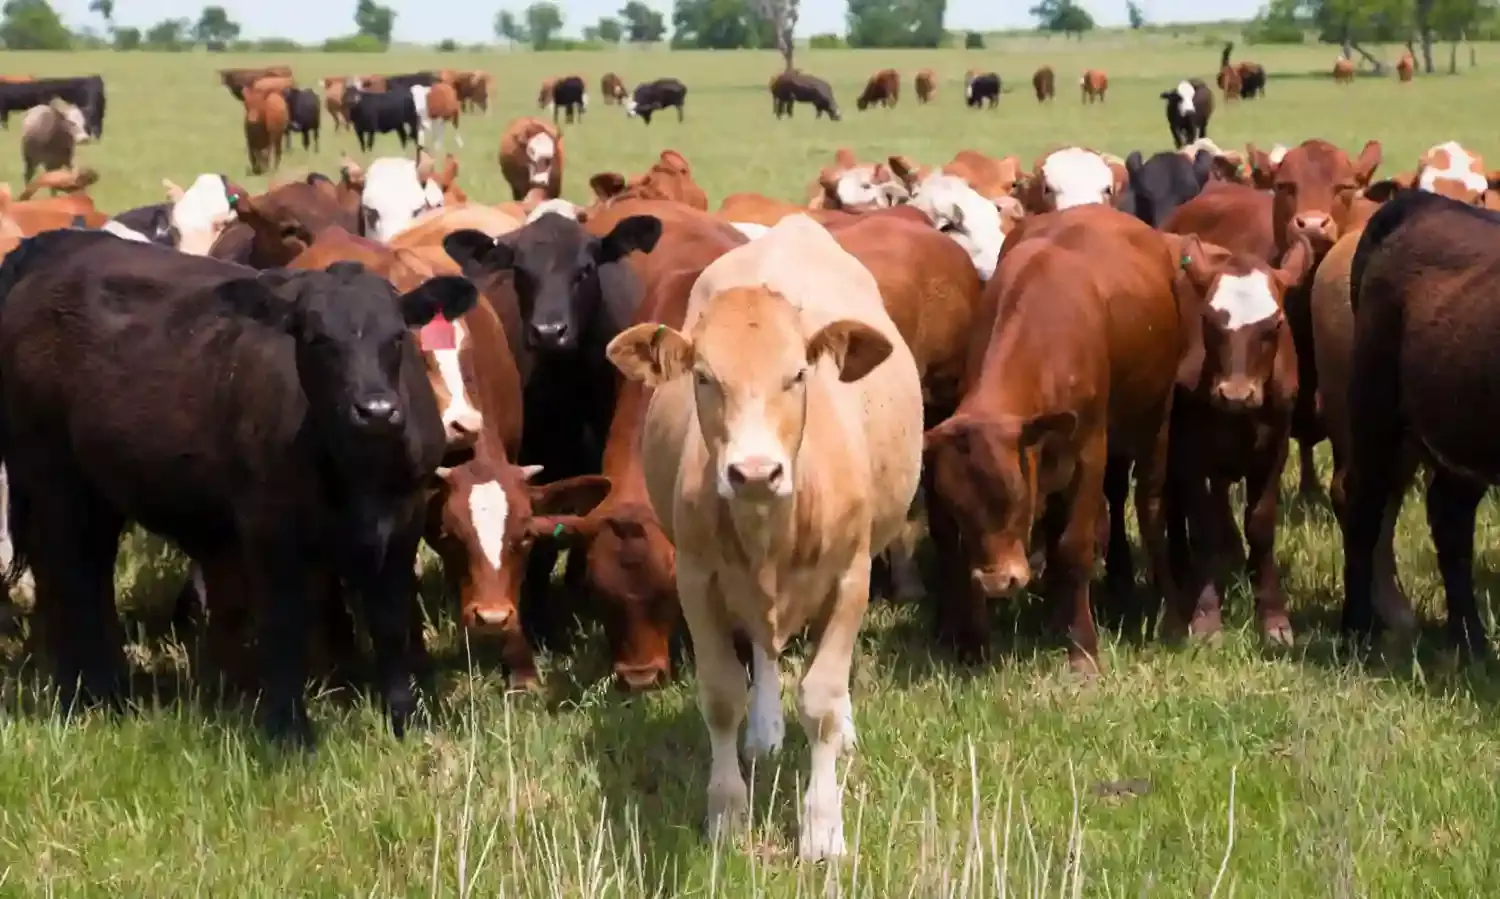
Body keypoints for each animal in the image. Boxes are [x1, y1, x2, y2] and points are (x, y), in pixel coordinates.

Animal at [0, 228, 478, 746]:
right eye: (317, 339)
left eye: (397, 337)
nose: (376, 410)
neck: (355, 471)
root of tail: (60, 245)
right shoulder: (267, 524)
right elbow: (283, 624)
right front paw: (289, 731)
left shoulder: (403, 519)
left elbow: (391, 619)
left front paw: (407, 720)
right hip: (52, 478)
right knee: (66, 577)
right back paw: (81, 695)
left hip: (98, 490)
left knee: (92, 572)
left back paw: (111, 691)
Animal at [605, 213, 922, 860]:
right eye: (704, 377)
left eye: (797, 374)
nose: (754, 471)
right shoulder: (696, 579)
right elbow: (723, 695)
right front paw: (727, 813)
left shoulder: (852, 576)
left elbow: (821, 700)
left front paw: (822, 826)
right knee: (763, 648)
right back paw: (765, 727)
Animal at [923, 205, 1201, 667]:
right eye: (955, 507)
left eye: (1014, 496)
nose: (998, 582)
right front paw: (976, 643)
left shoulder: (1090, 451)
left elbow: (1074, 546)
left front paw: (1082, 648)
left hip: (1155, 418)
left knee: (1151, 509)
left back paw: (1174, 619)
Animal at [1164, 234, 1314, 644]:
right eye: (1208, 319)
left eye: (1275, 324)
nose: (1235, 393)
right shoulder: (1191, 454)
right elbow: (1202, 526)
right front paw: (1205, 616)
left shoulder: (1276, 447)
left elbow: (1260, 525)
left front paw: (1274, 617)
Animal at [1342, 190, 1500, 658]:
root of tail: (1425, 201)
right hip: (1375, 408)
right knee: (1363, 505)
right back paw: (1356, 628)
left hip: (1462, 429)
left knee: (1450, 517)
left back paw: (1469, 640)